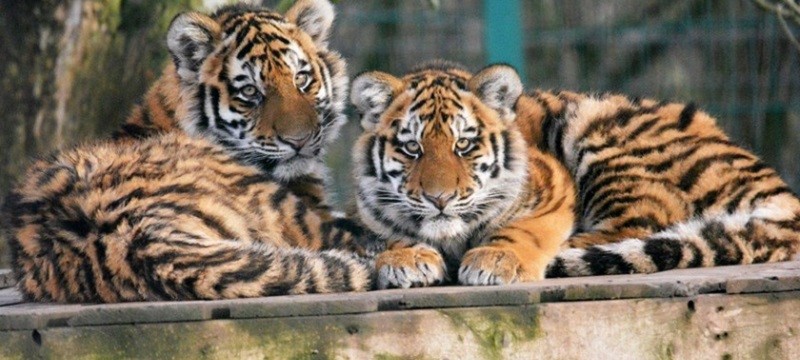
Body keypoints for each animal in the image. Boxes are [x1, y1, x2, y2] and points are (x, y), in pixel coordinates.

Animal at [348, 61, 576, 286]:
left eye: (463, 144)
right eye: (412, 146)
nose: (440, 199)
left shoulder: (554, 187)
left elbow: (524, 229)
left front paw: (495, 258)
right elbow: (390, 235)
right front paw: (406, 258)